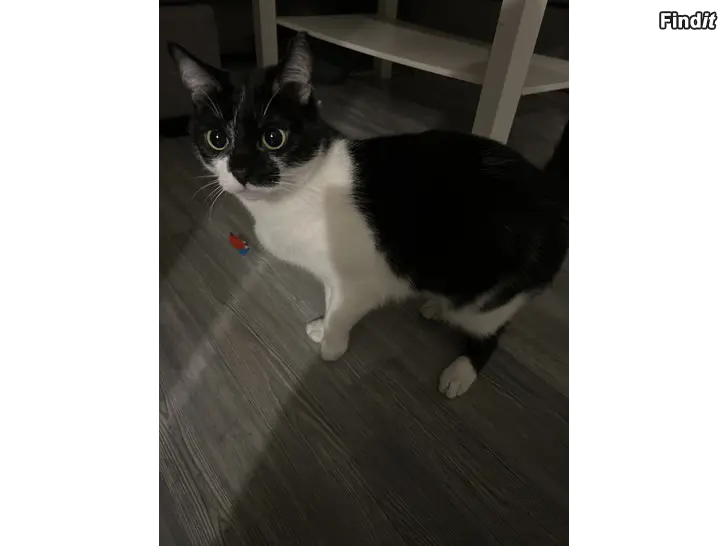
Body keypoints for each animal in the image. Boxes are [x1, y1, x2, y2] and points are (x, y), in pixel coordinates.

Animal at [168, 33, 572, 399]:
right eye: (217, 140)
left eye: (273, 138)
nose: (241, 171)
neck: (297, 196)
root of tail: (548, 187)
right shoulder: (333, 275)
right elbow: (331, 300)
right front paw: (323, 325)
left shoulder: (364, 282)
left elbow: (344, 309)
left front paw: (331, 345)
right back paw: (434, 306)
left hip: (486, 297)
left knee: (491, 331)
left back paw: (461, 372)